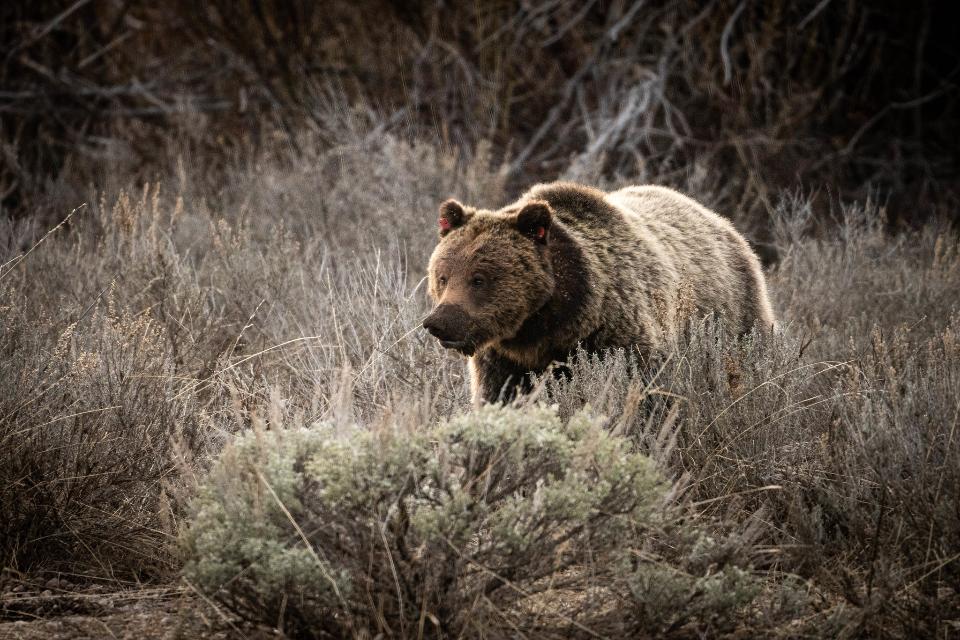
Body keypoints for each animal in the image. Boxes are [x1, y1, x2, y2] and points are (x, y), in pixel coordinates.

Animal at [424, 180, 776, 402]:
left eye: (479, 278)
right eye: (442, 276)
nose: (439, 322)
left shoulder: (618, 334)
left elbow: (647, 391)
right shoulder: (506, 360)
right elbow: (501, 395)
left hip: (733, 311)